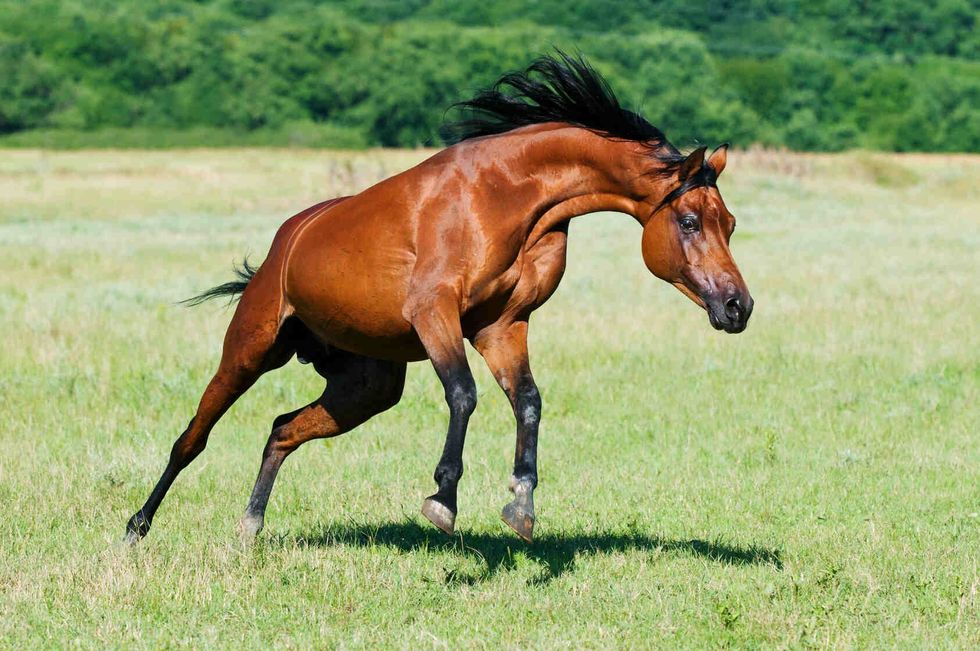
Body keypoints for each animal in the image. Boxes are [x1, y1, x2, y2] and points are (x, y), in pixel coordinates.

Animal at [126, 53, 756, 548]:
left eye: (730, 223)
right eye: (691, 221)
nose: (738, 307)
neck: (504, 195)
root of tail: (286, 241)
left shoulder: (503, 327)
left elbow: (528, 401)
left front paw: (520, 503)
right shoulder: (435, 315)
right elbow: (464, 394)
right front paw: (443, 498)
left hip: (366, 387)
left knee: (282, 428)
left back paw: (250, 527)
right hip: (251, 350)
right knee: (193, 437)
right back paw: (137, 528)